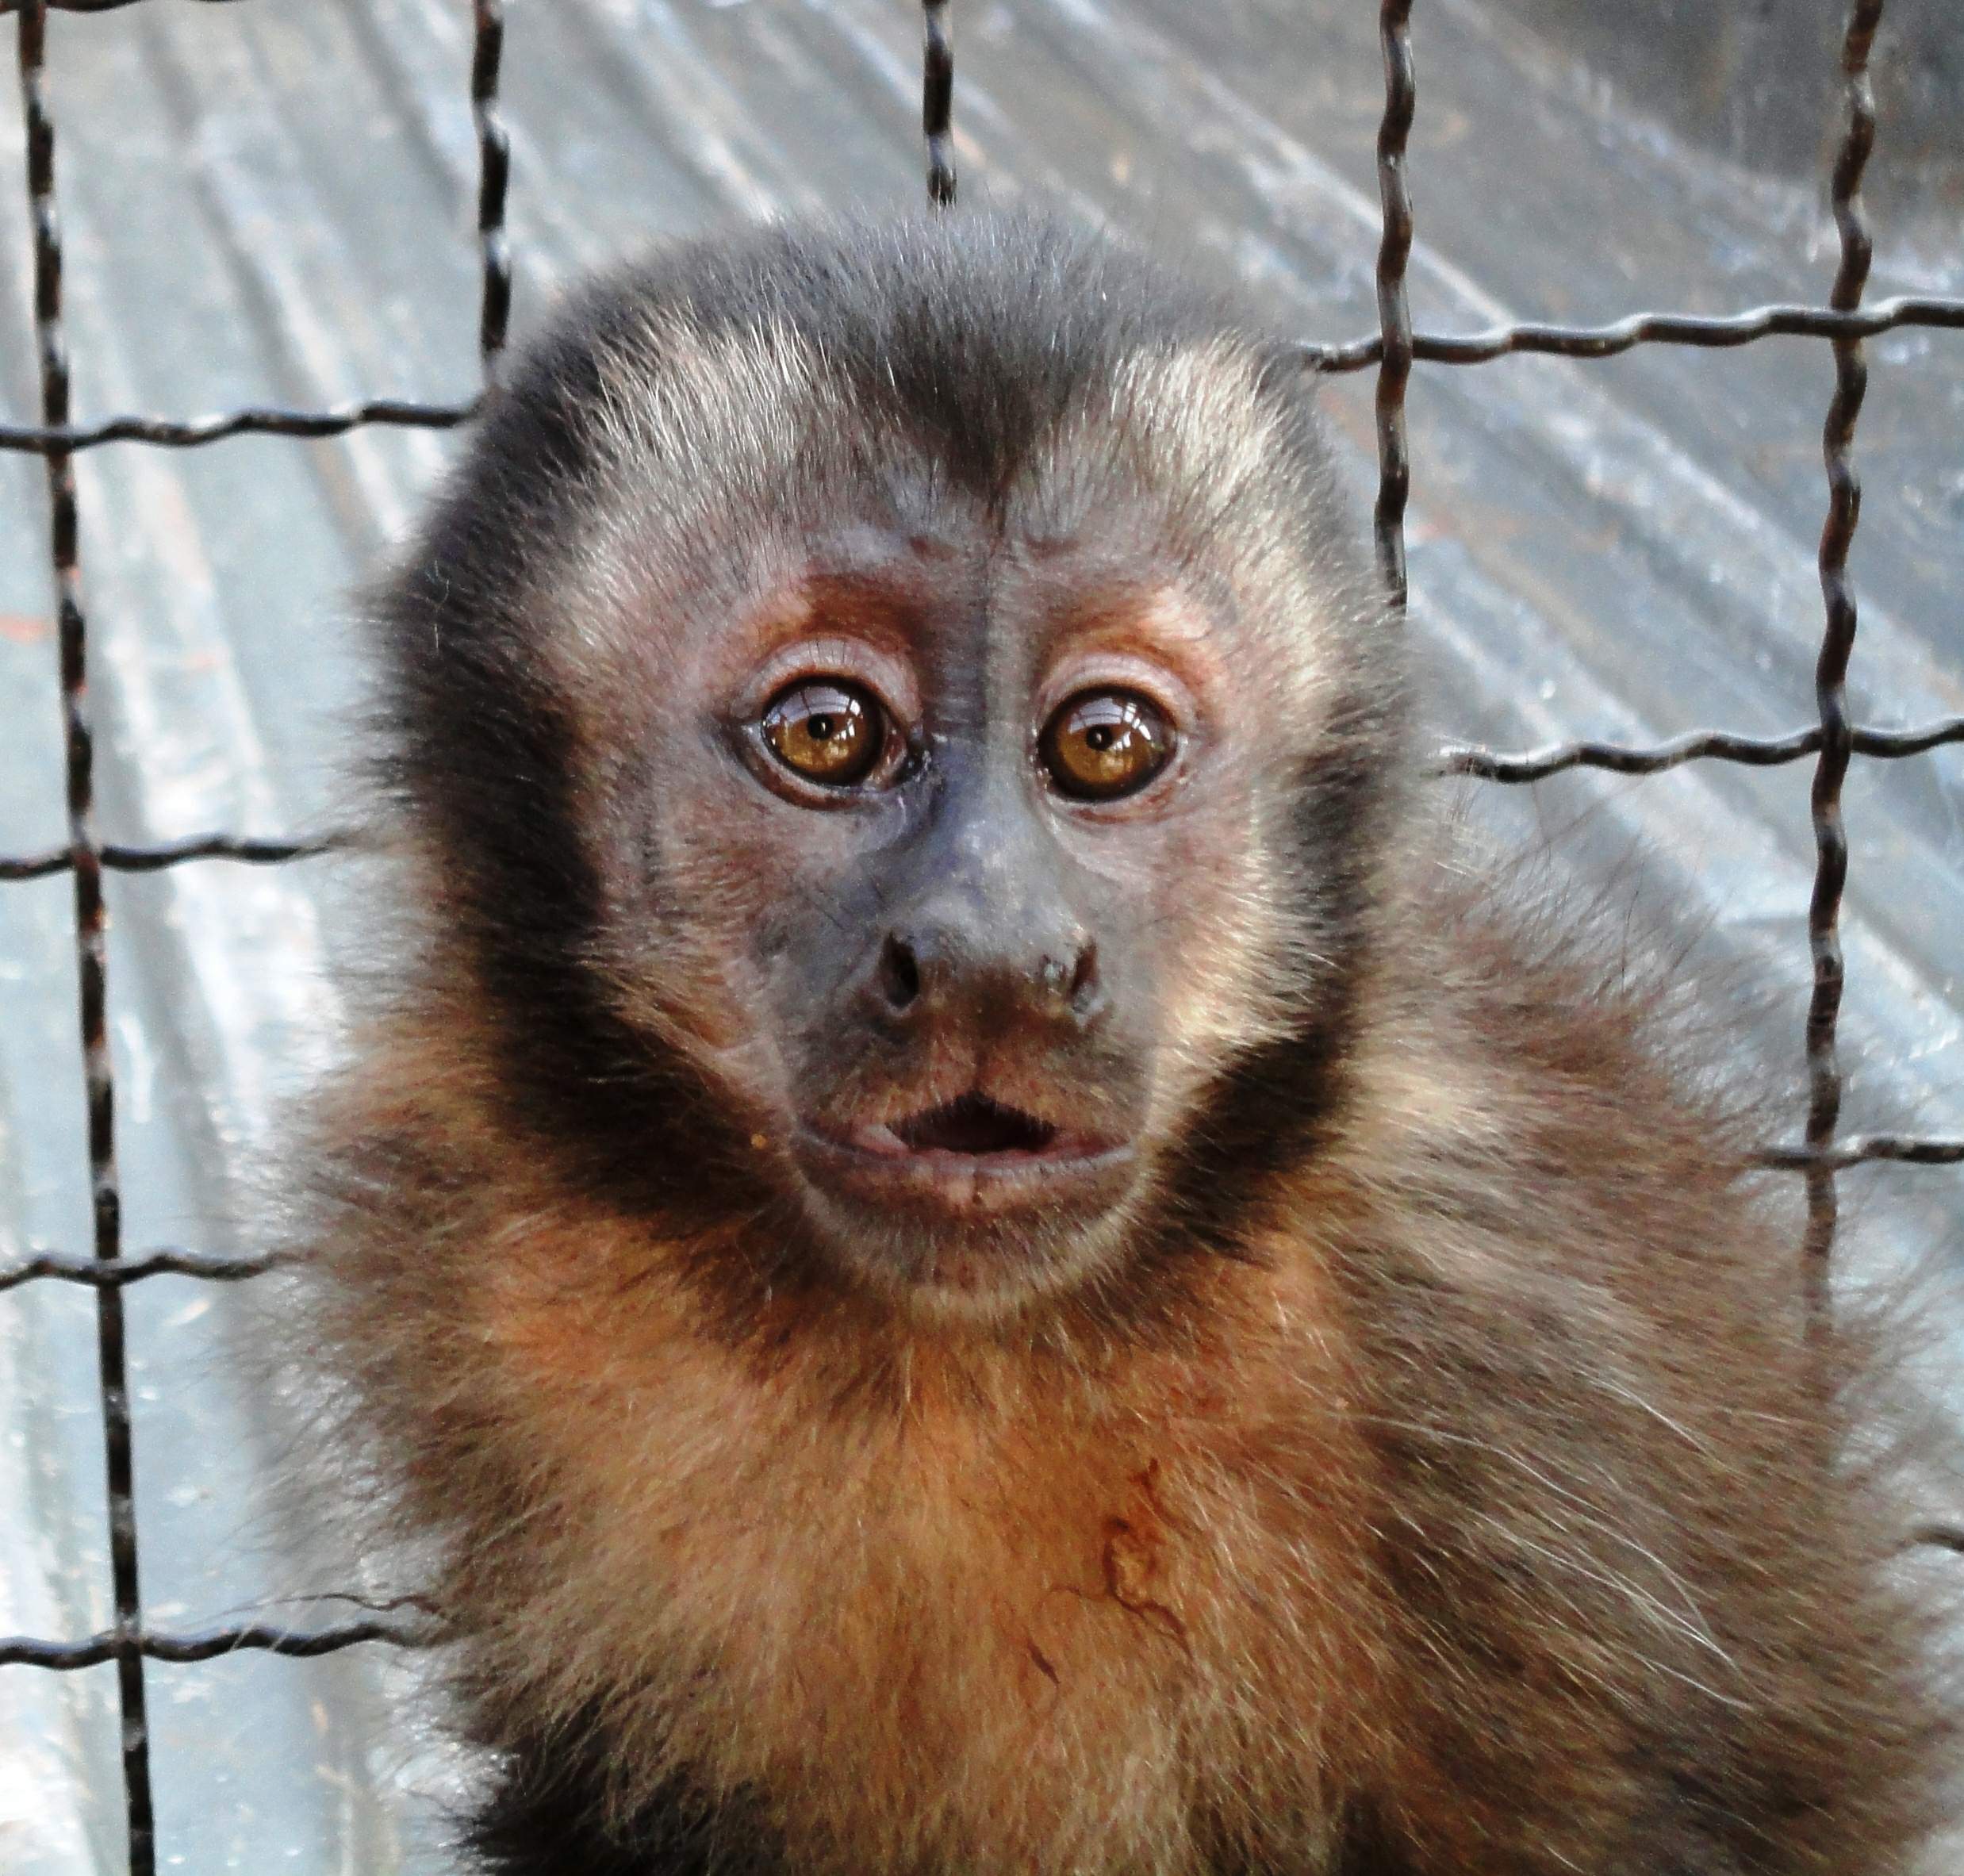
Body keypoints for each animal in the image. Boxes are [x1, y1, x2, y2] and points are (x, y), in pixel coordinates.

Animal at [281, 210, 1949, 1875]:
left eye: (1103, 746)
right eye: (828, 732)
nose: (992, 954)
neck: (943, 1366)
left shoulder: (1511, 1320)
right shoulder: (481, 1277)